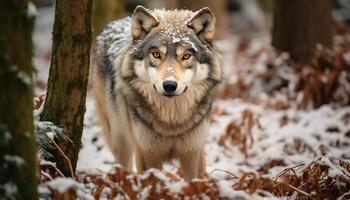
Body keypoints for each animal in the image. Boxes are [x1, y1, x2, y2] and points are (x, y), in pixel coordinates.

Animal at [93, 5, 223, 181]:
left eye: (186, 56)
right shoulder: (148, 153)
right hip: (120, 141)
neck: (172, 121)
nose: (169, 85)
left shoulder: (193, 152)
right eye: (156, 54)